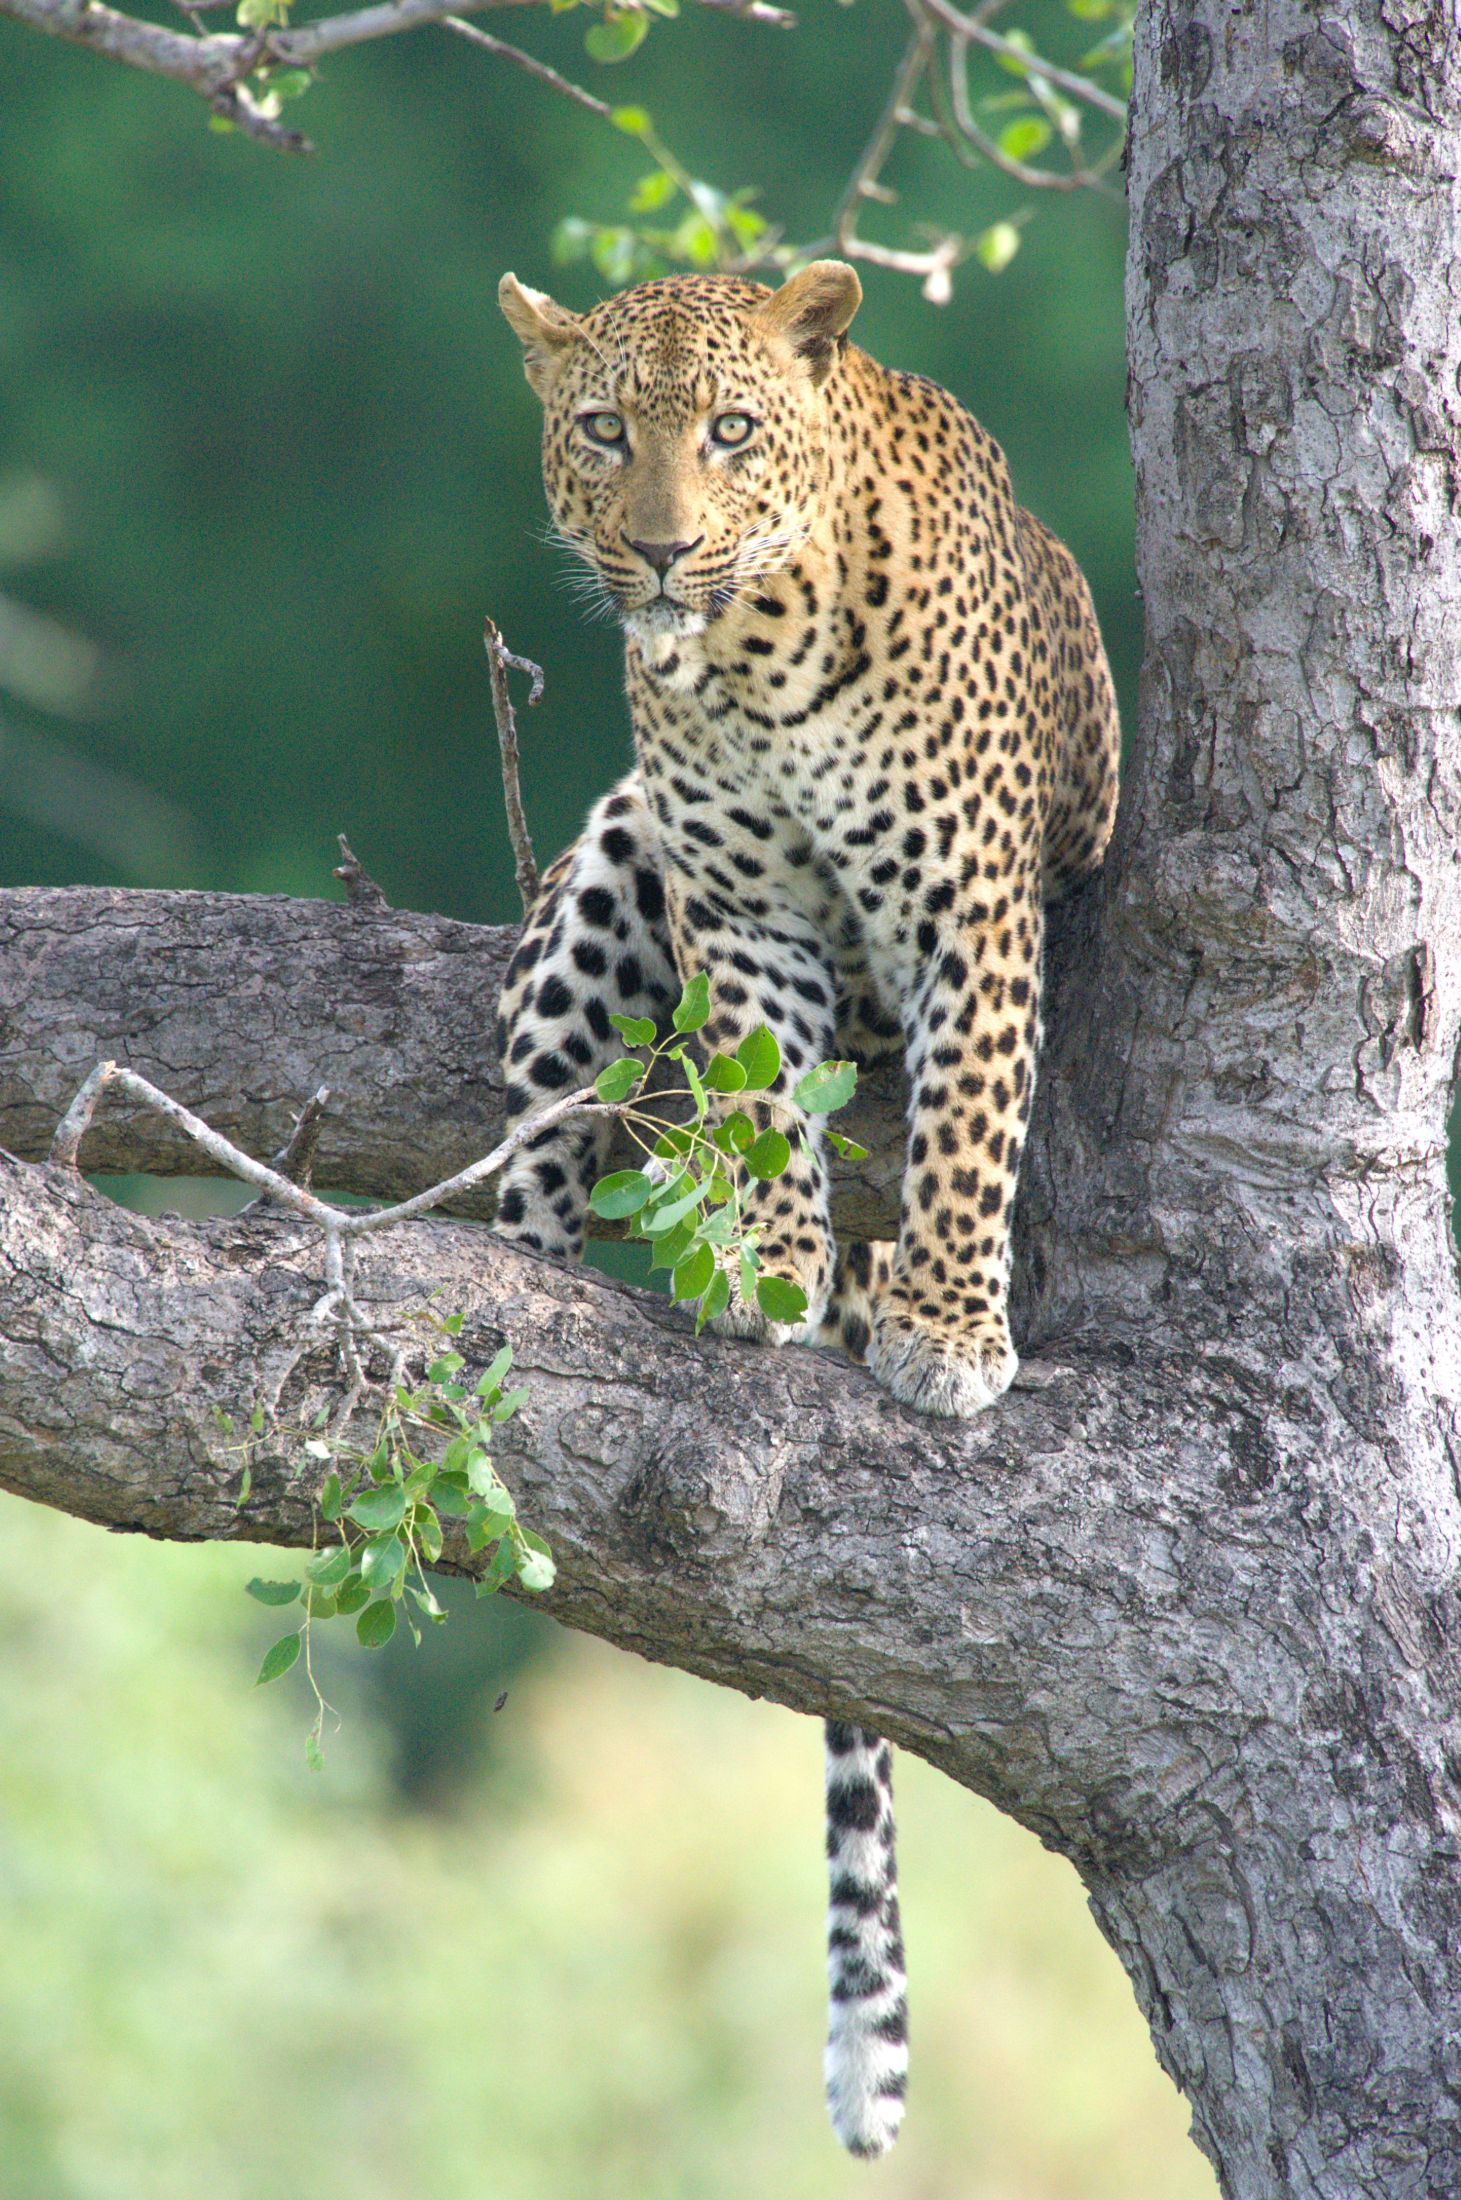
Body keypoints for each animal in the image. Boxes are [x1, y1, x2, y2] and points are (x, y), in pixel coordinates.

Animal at [493, 261, 1120, 2158]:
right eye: (603, 428)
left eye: (729, 430)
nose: (656, 552)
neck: (758, 660)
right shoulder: (741, 909)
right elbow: (761, 1101)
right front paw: (768, 1271)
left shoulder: (978, 908)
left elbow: (976, 1114)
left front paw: (946, 1333)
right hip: (613, 858)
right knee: (541, 1134)